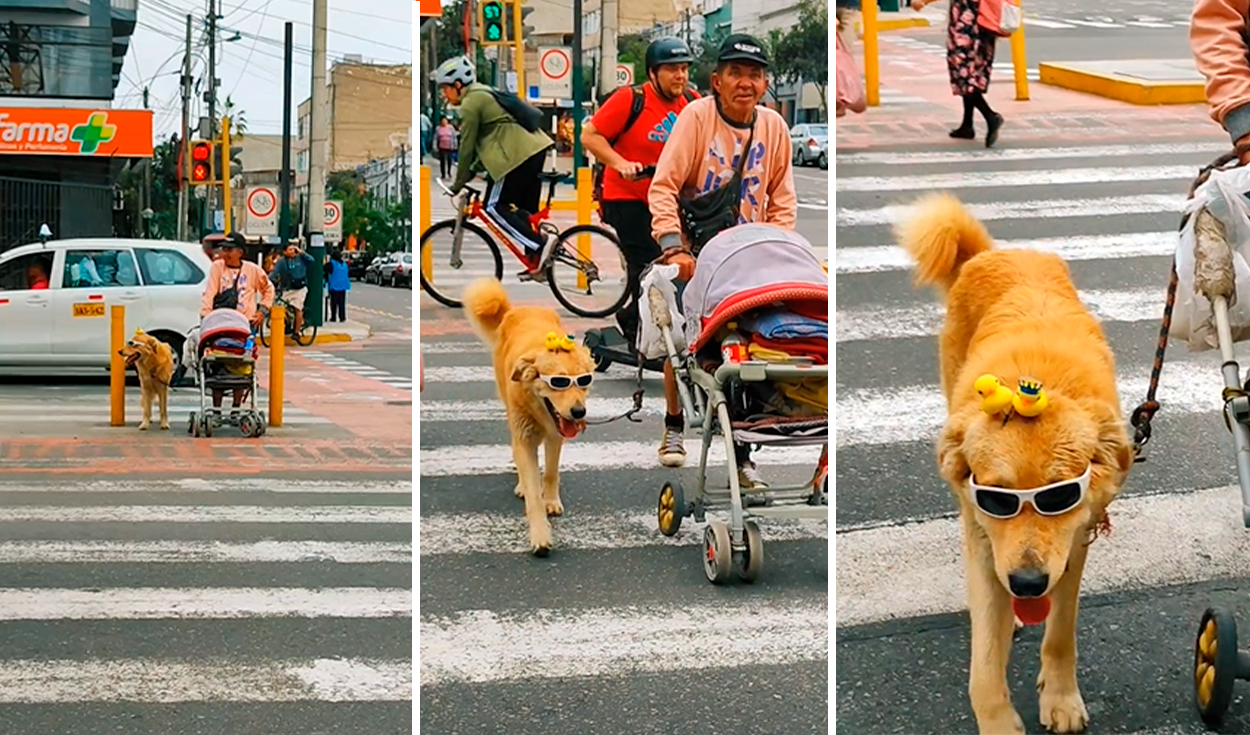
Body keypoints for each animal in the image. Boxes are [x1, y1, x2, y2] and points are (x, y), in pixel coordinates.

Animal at [465, 275, 595, 557]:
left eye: (584, 381)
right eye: (558, 383)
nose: (579, 412)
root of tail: (521, 308)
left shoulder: (556, 435)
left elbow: (551, 473)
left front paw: (552, 500)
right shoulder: (525, 437)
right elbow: (534, 490)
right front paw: (540, 535)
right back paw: (522, 485)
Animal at [895, 193, 1140, 735]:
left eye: (1060, 495)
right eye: (997, 498)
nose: (1027, 584)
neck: (1035, 381)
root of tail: (995, 253)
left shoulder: (1074, 542)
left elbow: (1061, 630)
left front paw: (1061, 696)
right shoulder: (983, 538)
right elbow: (986, 660)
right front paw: (999, 718)